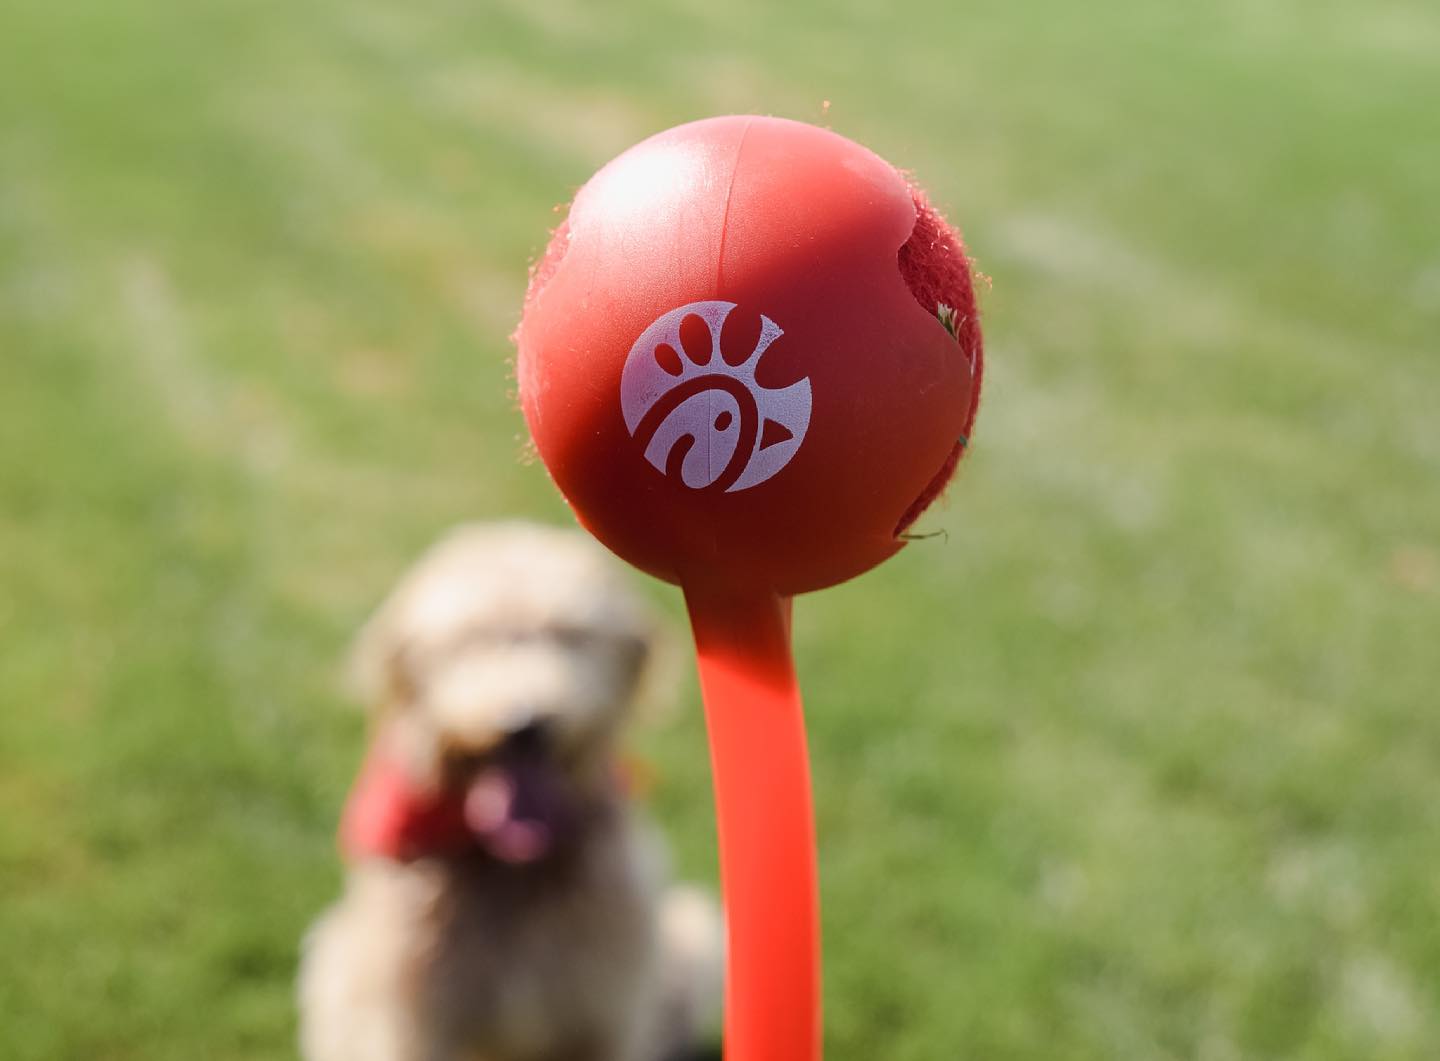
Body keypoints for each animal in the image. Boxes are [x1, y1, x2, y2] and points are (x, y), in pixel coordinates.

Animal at [299, 523, 721, 1061]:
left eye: (570, 636)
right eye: (470, 641)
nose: (525, 725)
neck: (512, 865)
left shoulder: (605, 1009)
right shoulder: (415, 1013)